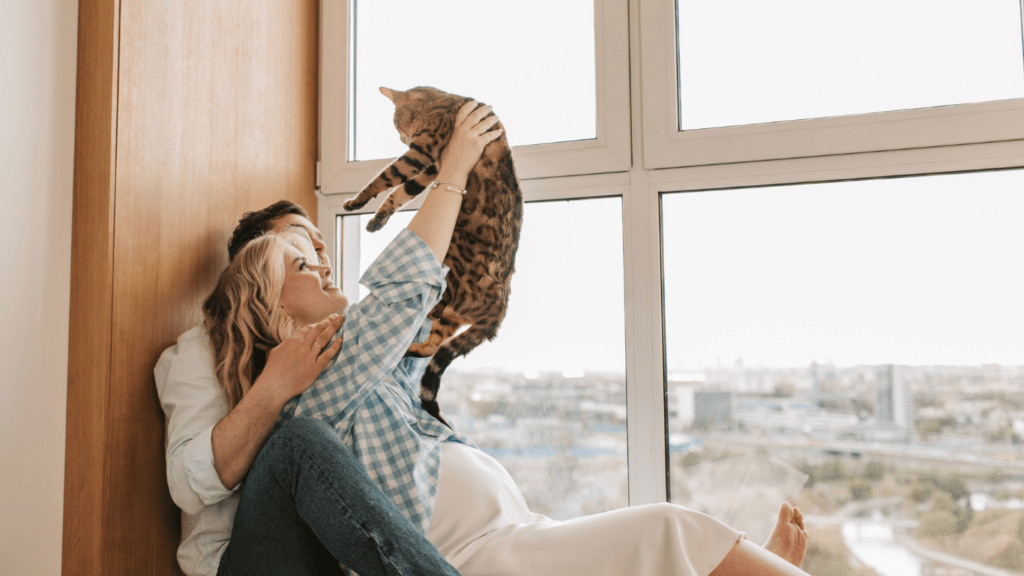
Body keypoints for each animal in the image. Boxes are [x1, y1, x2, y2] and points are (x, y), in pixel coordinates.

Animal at [344, 86, 524, 426]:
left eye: (396, 124)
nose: (402, 137)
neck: (441, 101)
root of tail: (501, 307)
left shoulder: (423, 153)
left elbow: (387, 179)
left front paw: (358, 201)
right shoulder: (431, 167)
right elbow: (401, 192)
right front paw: (377, 219)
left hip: (446, 283)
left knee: (425, 324)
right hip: (449, 317)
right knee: (431, 348)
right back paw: (407, 353)